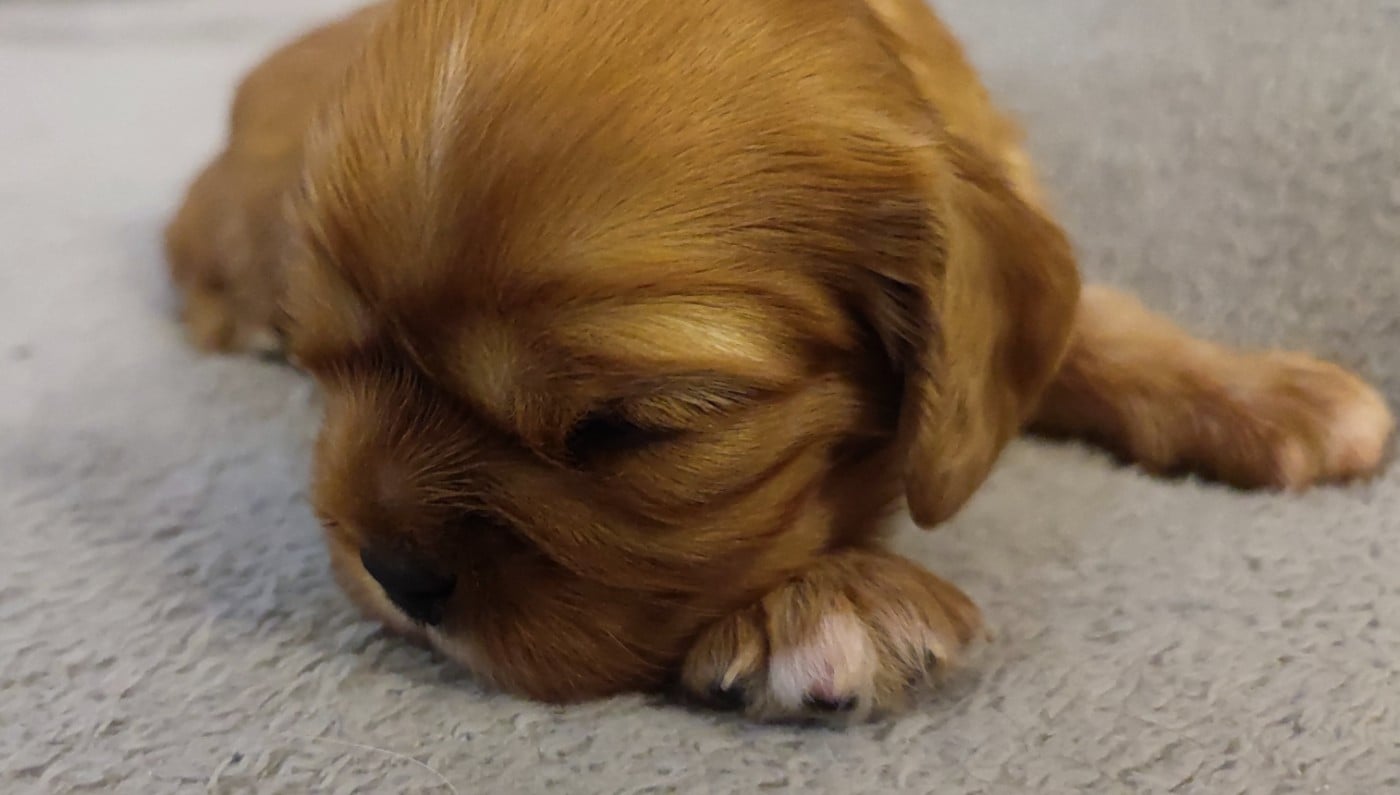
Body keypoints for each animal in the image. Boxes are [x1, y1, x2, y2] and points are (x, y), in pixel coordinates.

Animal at [165, 0, 1394, 722]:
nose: (396, 572)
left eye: (625, 429)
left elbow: (1086, 327)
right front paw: (826, 601)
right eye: (326, 371)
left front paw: (1266, 396)